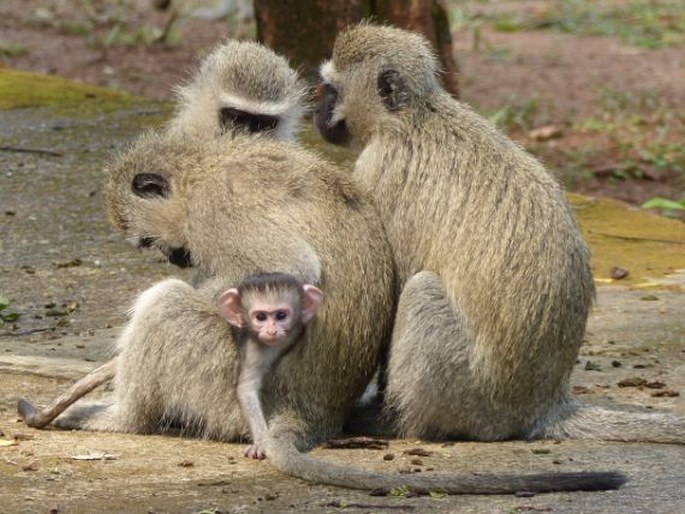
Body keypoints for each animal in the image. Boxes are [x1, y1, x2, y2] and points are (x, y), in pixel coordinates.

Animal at [220, 270, 324, 458]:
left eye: (281, 315)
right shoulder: (254, 349)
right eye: (261, 317)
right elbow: (246, 388)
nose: (272, 331)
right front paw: (261, 442)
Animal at [316, 22, 684, 442]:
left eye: (332, 90)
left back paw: (399, 423)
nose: (317, 112)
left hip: (469, 393)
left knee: (421, 290)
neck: (413, 118)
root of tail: (539, 406)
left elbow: (390, 292)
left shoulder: (378, 170)